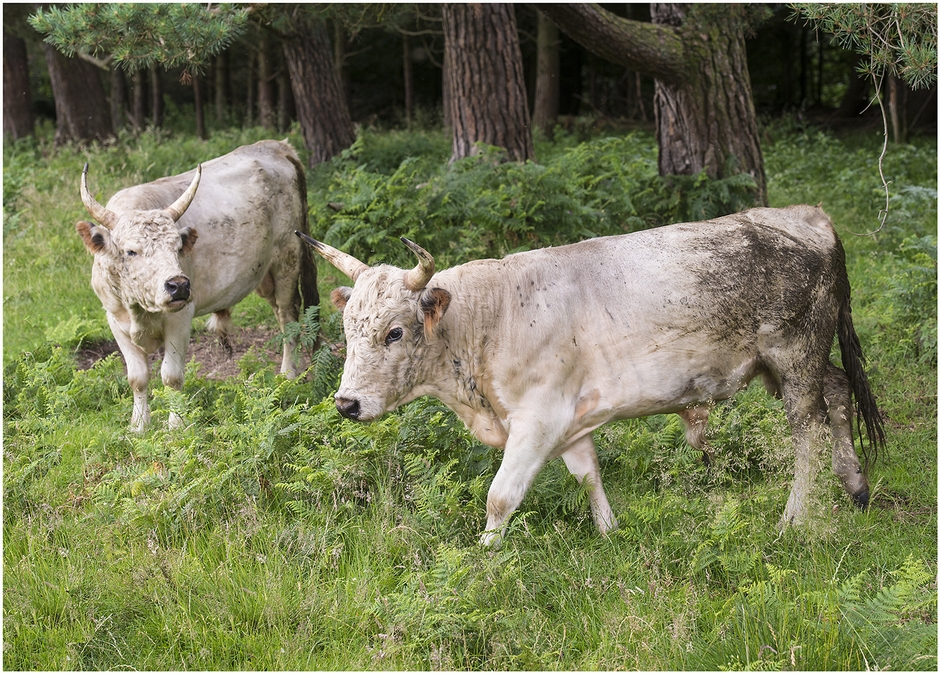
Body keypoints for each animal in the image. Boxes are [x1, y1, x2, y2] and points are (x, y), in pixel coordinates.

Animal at [80, 139, 316, 428]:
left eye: (177, 247)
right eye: (131, 251)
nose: (179, 285)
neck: (139, 309)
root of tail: (276, 146)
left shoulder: (180, 318)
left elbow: (171, 376)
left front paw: (176, 425)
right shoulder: (114, 319)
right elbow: (137, 378)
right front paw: (138, 425)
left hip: (287, 259)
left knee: (287, 316)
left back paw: (288, 374)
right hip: (266, 275)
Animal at [298, 206, 884, 544]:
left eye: (395, 332)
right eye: (348, 329)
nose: (346, 403)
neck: (489, 316)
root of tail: (808, 216)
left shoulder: (538, 418)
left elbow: (501, 496)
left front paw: (485, 560)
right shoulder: (570, 418)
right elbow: (588, 475)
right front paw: (608, 532)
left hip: (794, 355)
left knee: (807, 430)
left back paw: (794, 520)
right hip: (789, 363)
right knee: (838, 392)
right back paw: (855, 487)